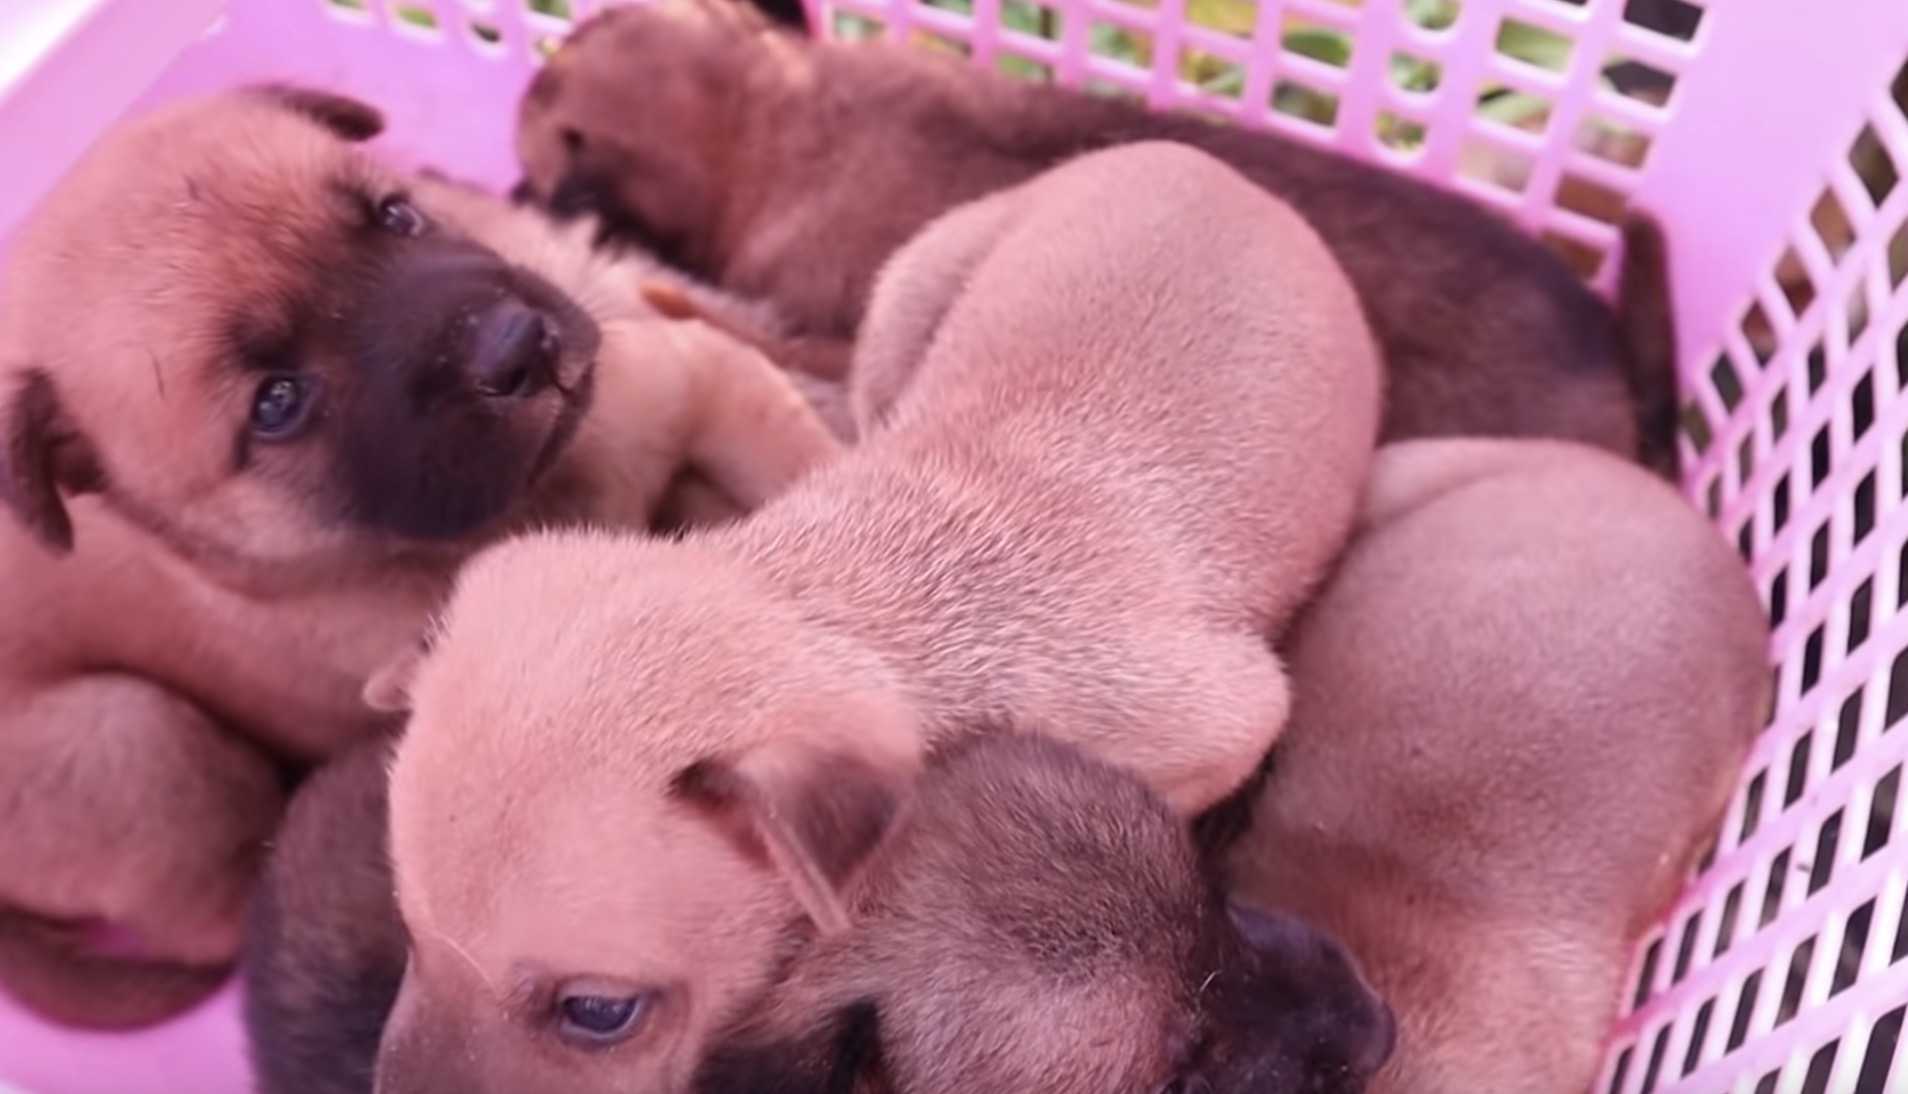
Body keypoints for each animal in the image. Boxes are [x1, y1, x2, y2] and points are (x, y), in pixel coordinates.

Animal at [375, 143, 1389, 1092]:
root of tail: (1212, 162)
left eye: (597, 1012)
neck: (851, 594)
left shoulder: (1228, 711)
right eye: (409, 934)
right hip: (913, 291)